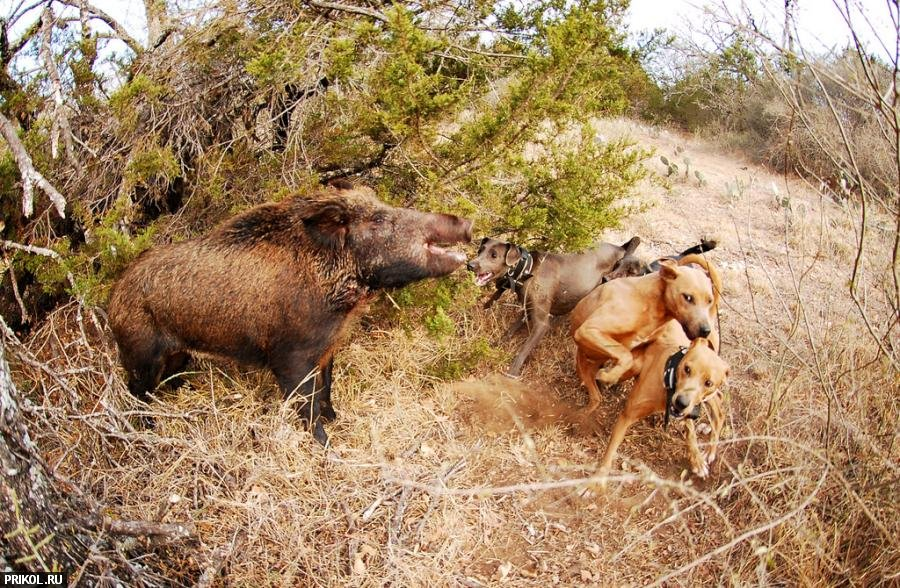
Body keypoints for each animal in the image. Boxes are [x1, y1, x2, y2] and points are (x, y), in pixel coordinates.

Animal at [472, 235, 640, 376]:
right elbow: (509, 331)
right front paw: (495, 344)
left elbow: (523, 351)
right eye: (480, 250)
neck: (528, 269)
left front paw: (511, 373)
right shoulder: (527, 310)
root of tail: (621, 248)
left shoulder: (541, 324)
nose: (470, 264)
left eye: (494, 255)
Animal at [572, 253, 720, 414]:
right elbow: (625, 355)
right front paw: (609, 376)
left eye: (709, 300)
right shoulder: (588, 330)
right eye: (688, 297)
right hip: (584, 365)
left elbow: (627, 357)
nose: (705, 331)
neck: (651, 305)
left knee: (597, 398)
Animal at [596, 320, 732, 480]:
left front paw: (697, 460)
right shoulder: (628, 415)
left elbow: (690, 432)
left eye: (708, 383)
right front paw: (597, 479)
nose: (681, 402)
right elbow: (610, 452)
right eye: (687, 369)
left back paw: (711, 449)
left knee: (719, 406)